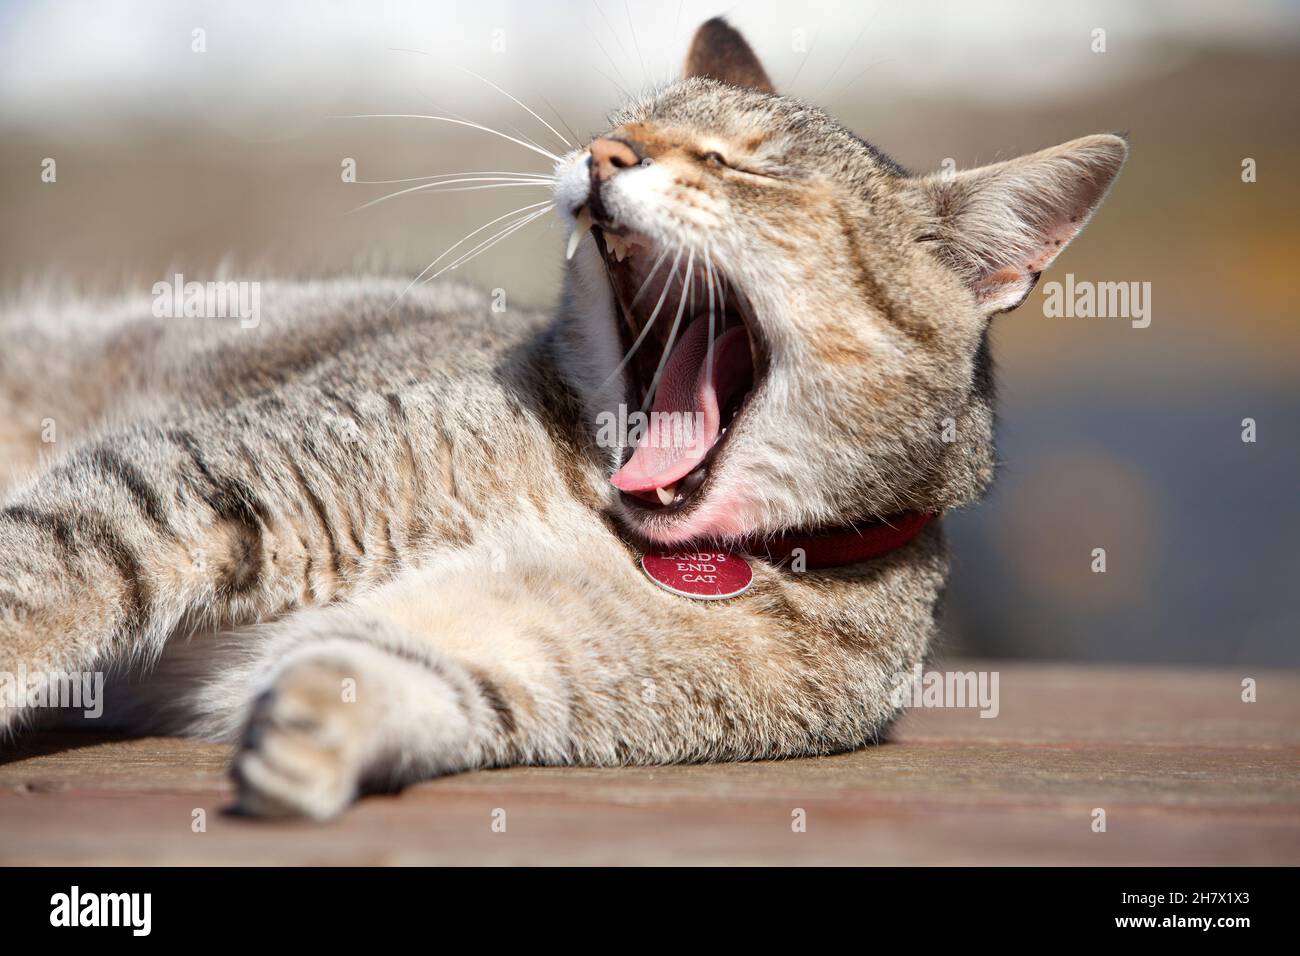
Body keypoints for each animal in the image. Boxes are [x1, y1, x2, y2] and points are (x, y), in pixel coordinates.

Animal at [0, 18, 1128, 816]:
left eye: (745, 164)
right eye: (630, 119)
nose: (604, 152)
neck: (616, 517)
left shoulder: (539, 653)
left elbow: (416, 673)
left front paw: (322, 722)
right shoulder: (233, 477)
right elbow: (60, 572)